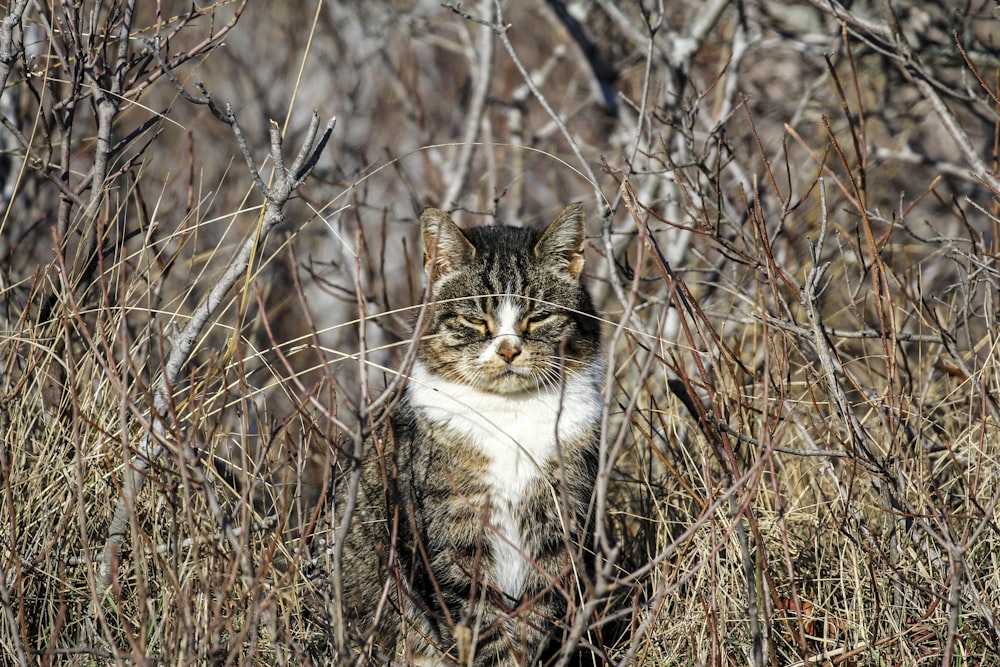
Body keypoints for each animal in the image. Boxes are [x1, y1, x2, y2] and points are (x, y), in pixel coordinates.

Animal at [336, 205, 600, 667]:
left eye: (539, 317)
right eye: (476, 320)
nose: (509, 350)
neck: (510, 416)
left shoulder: (557, 531)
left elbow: (534, 621)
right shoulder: (451, 542)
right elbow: (480, 627)